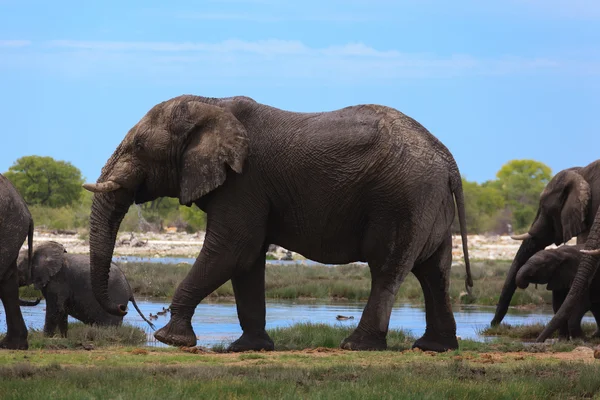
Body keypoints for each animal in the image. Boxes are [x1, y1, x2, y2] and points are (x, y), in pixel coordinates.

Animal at [17, 241, 156, 338]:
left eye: (17, 267)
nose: (37, 299)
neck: (35, 249)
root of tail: (129, 287)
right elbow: (62, 311)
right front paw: (63, 338)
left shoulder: (58, 281)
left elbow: (55, 309)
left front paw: (46, 338)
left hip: (116, 298)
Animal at [82, 95, 474, 352]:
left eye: (138, 145)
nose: (122, 308)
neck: (211, 103)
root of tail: (449, 160)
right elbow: (246, 261)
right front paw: (249, 347)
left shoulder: (244, 182)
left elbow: (232, 250)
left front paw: (170, 339)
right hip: (428, 203)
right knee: (434, 272)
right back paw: (434, 347)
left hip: (402, 199)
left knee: (388, 269)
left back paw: (357, 346)